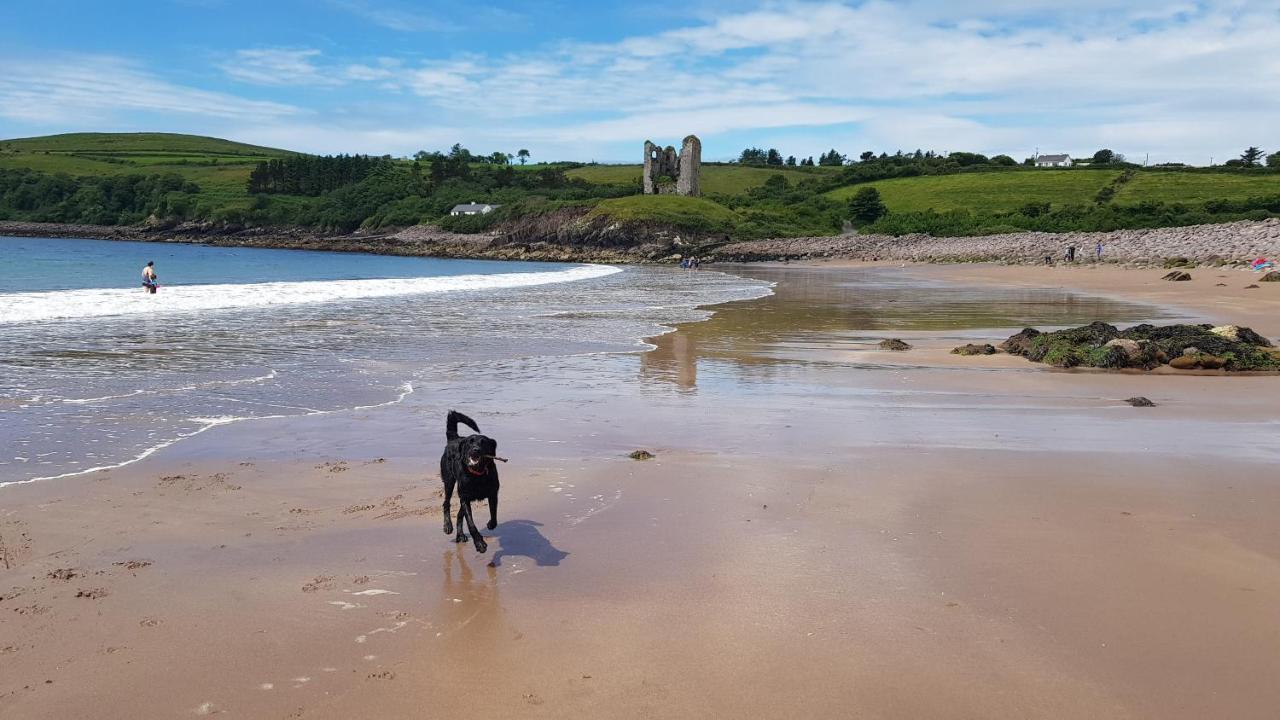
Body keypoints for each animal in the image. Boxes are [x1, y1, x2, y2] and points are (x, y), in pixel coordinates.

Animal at [440, 407, 499, 550]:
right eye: (470, 442)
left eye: (484, 443)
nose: (475, 450)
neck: (477, 475)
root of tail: (454, 438)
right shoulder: (465, 499)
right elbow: (471, 523)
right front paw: (479, 543)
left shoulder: (493, 494)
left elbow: (494, 513)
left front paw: (491, 524)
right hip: (449, 481)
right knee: (446, 503)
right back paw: (448, 526)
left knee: (459, 515)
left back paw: (460, 535)